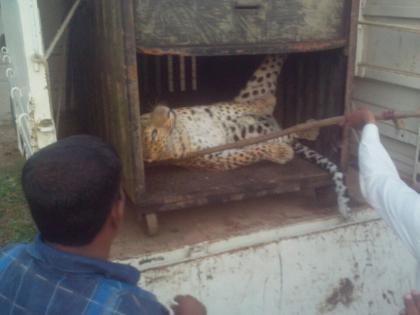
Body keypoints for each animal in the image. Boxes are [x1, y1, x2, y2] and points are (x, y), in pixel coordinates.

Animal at [141, 55, 352, 218]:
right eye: (153, 134)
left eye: (146, 119)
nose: (164, 110)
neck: (180, 132)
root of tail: (274, 125)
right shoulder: (219, 158)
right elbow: (251, 153)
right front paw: (280, 153)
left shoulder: (213, 110)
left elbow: (239, 106)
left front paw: (266, 102)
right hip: (270, 130)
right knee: (285, 135)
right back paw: (308, 129)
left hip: (254, 88)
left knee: (267, 72)